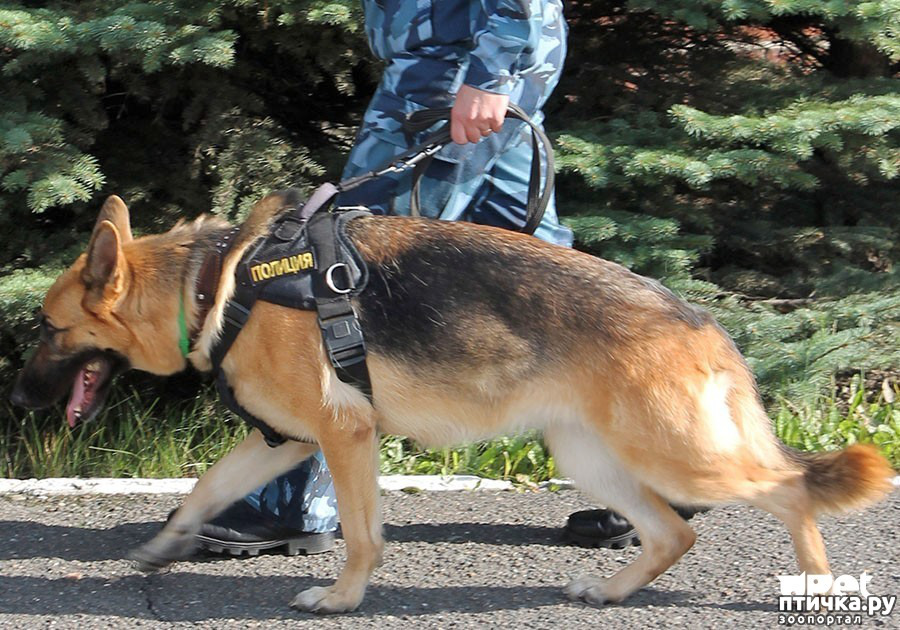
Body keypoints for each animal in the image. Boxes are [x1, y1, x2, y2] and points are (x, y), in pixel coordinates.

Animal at [8, 195, 892, 616]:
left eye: (48, 330)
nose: (15, 398)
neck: (215, 282)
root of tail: (702, 320)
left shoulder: (344, 436)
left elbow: (363, 535)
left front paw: (341, 599)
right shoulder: (284, 442)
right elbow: (204, 489)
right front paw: (165, 546)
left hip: (681, 456)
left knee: (788, 490)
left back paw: (817, 585)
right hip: (591, 458)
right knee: (675, 533)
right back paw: (610, 592)